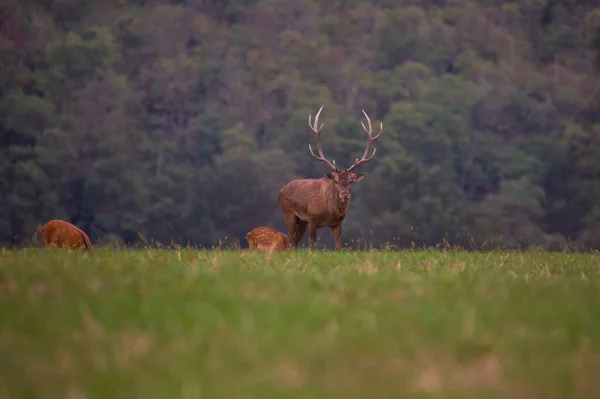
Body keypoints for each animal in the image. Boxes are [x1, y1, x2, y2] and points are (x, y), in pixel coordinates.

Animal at [278, 106, 382, 250]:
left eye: (351, 181)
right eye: (336, 181)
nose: (345, 194)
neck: (330, 212)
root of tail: (280, 190)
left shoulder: (338, 223)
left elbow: (338, 247)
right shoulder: (313, 219)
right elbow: (312, 245)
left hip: (302, 220)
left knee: (294, 242)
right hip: (288, 213)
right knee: (291, 241)